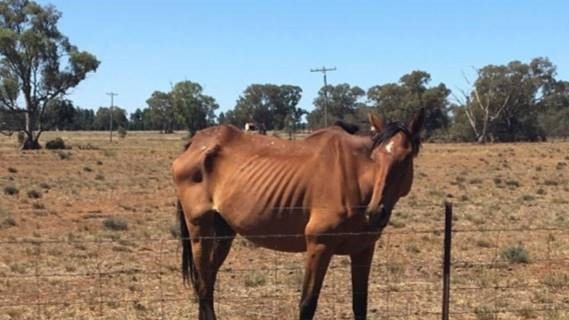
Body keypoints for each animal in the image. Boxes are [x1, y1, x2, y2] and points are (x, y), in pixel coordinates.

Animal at [171, 109, 424, 318]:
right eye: (375, 157)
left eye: (406, 158)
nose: (376, 213)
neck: (353, 178)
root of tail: (197, 142)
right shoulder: (319, 246)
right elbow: (307, 305)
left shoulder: (363, 250)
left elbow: (359, 305)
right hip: (200, 231)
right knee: (204, 287)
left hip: (223, 232)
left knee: (208, 283)